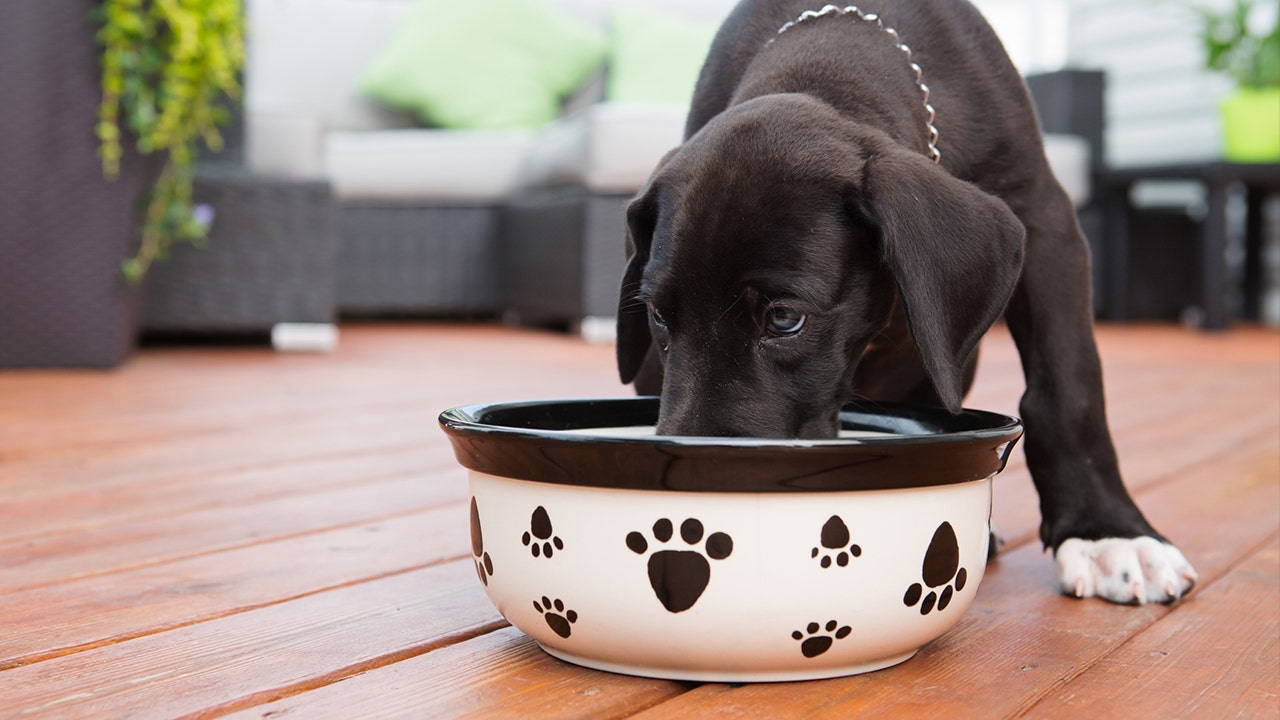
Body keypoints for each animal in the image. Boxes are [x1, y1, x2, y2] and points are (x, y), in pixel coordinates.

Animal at [614, 0, 1192, 602]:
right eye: (657, 315)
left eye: (784, 318)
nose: (691, 494)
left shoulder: (1043, 217)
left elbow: (1068, 385)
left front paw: (1107, 532)